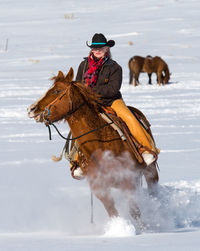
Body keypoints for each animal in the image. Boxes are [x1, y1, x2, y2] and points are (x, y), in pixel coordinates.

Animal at [27, 68, 159, 231]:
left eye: (57, 91)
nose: (31, 109)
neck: (98, 147)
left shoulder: (127, 180)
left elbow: (135, 211)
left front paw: (143, 230)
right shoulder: (99, 187)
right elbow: (112, 211)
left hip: (150, 170)